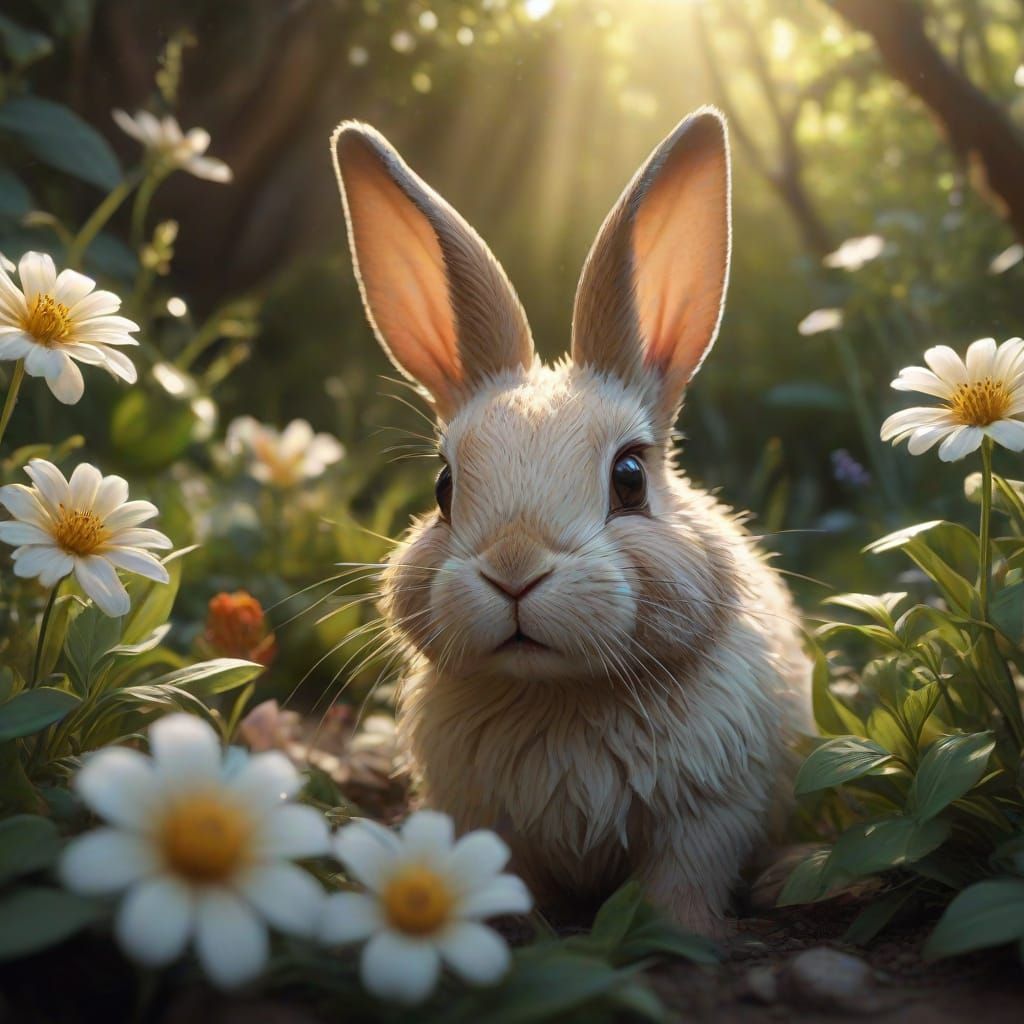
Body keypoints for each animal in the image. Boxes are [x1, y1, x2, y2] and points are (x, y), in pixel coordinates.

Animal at [330, 107, 811, 935]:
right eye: (444, 488)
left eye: (630, 478)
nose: (514, 570)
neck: (558, 693)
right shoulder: (485, 822)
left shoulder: (709, 813)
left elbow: (683, 877)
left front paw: (678, 934)